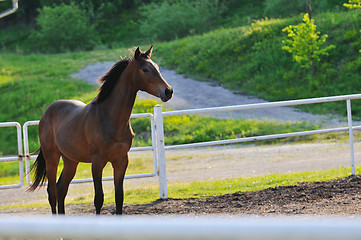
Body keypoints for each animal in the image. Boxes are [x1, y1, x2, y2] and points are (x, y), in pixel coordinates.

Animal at [28, 46, 172, 215]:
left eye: (157, 67)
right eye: (145, 69)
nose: (168, 91)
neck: (109, 119)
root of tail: (46, 113)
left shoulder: (121, 161)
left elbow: (119, 197)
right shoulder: (97, 162)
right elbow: (99, 199)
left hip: (71, 160)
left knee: (61, 188)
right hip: (52, 158)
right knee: (52, 193)